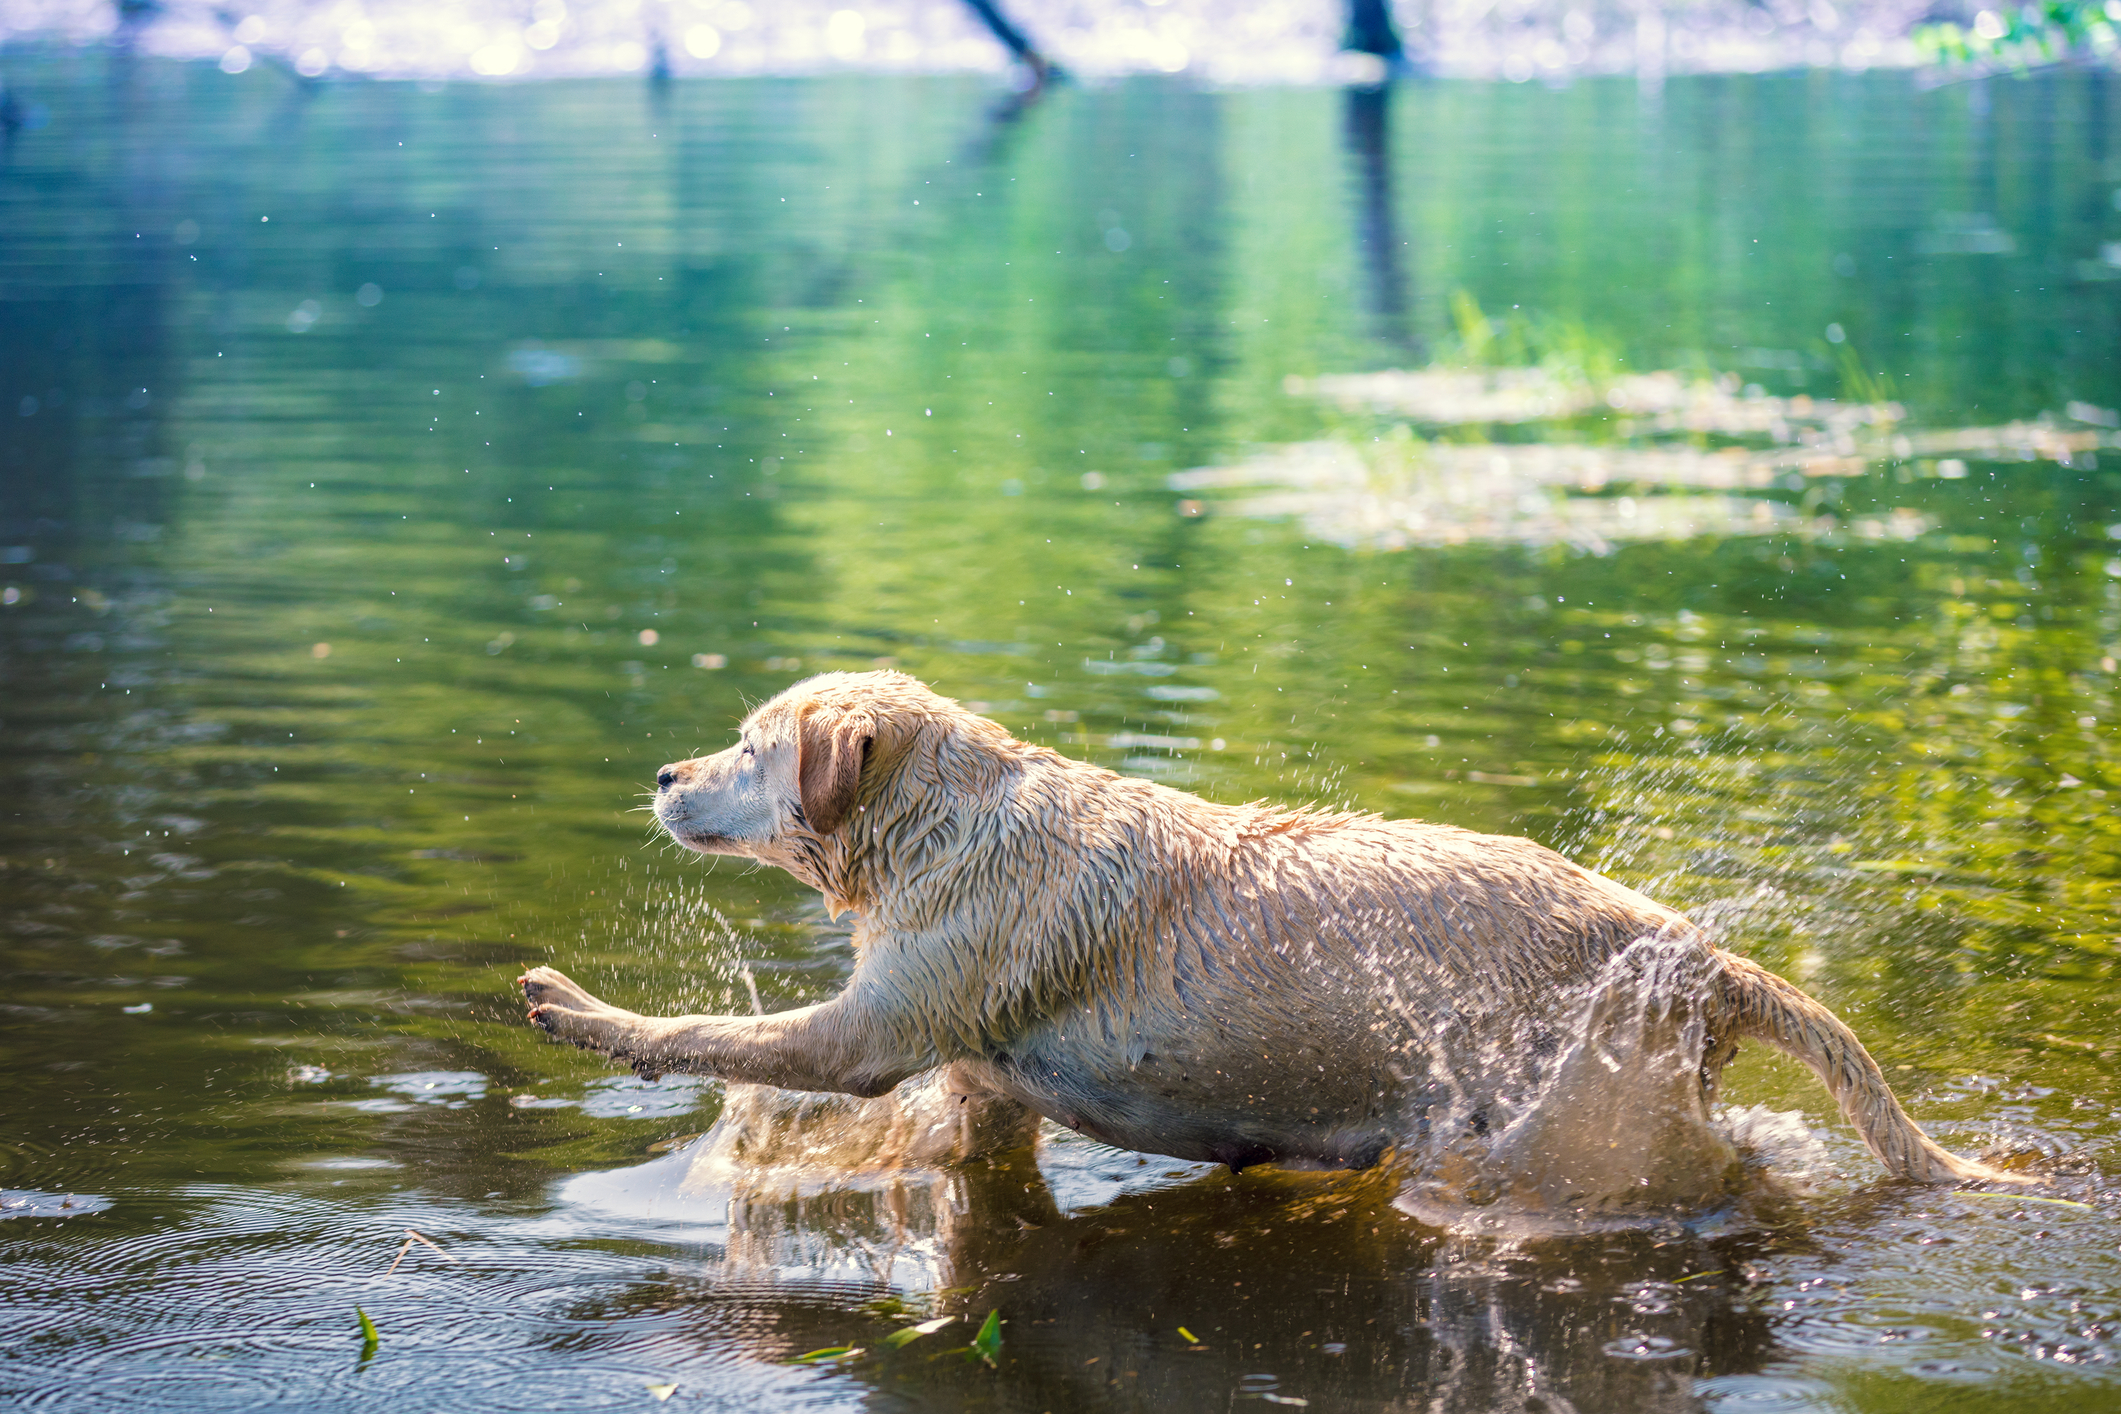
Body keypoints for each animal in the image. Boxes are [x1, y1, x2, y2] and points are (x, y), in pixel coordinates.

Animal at [521, 669, 2027, 1212]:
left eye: (749, 744)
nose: (663, 771)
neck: (946, 824)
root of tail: (1702, 955)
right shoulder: (976, 1086)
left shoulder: (869, 1034)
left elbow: (710, 1034)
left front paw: (579, 1008)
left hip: (1571, 1112)